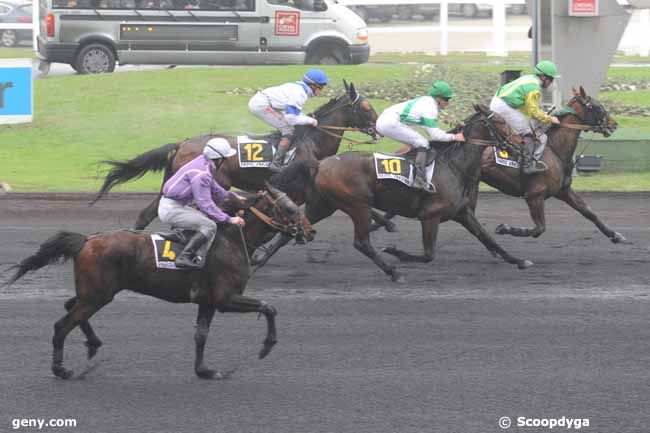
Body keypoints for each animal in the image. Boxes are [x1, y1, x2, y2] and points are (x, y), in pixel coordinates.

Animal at [4, 176, 306, 378]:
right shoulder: (224, 298)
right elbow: (269, 307)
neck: (230, 239)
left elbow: (201, 335)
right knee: (62, 325)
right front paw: (266, 347)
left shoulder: (207, 300)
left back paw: (92, 343)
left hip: (93, 293)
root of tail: (87, 240)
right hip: (97, 295)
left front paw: (204, 370)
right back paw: (61, 369)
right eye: (291, 209)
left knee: (70, 307)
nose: (309, 231)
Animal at [90, 80, 374, 230]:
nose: (376, 129)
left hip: (171, 185)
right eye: (366, 107)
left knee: (147, 214)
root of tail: (181, 143)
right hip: (213, 183)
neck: (311, 141)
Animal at [251, 107, 528, 282]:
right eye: (500, 122)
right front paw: (396, 252)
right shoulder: (431, 215)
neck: (453, 165)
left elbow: (487, 238)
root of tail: (321, 163)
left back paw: (259, 260)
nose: (521, 143)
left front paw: (518, 260)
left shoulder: (461, 212)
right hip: (357, 205)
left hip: (323, 205)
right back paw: (393, 272)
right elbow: (428, 255)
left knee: (290, 231)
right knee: (361, 242)